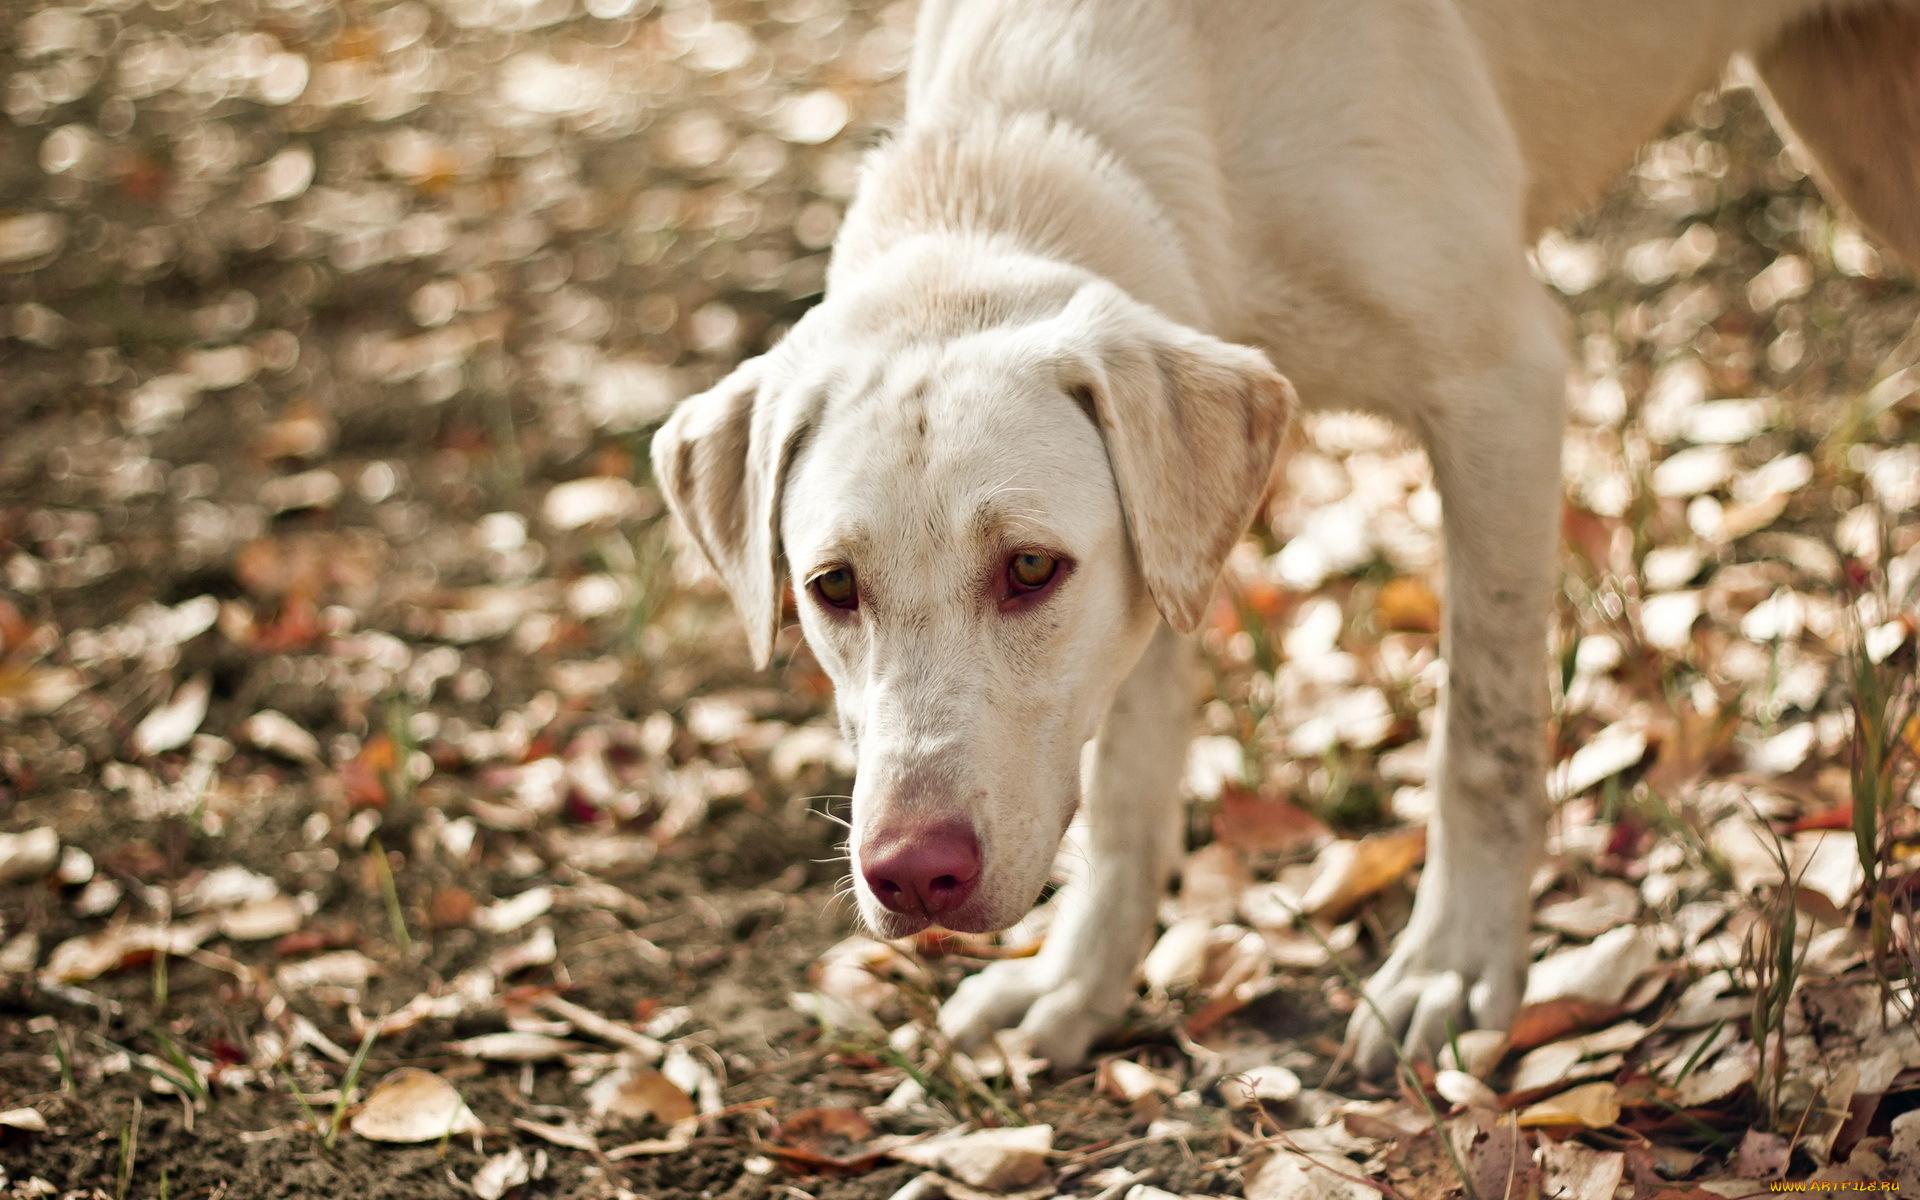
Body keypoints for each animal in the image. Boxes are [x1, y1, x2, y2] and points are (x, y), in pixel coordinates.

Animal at [648, 0, 1920, 1075]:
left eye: (1029, 569)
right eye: (832, 588)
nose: (913, 876)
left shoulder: (1500, 387)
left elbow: (1481, 736)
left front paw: (1455, 967)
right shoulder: (1161, 554)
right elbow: (1129, 792)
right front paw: (1081, 981)